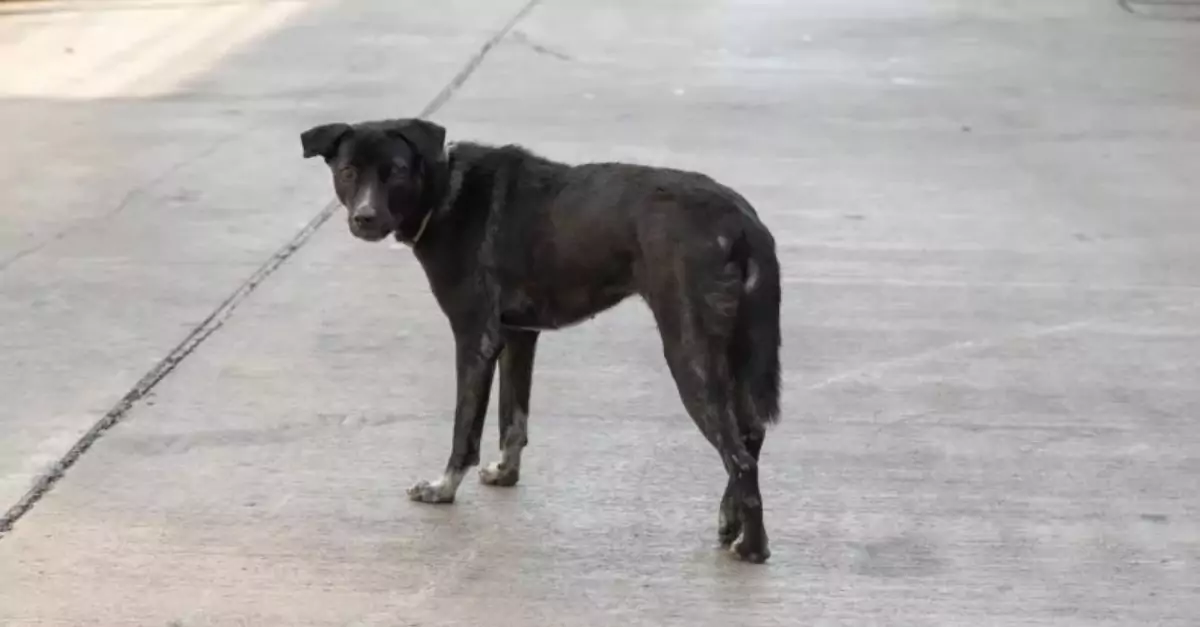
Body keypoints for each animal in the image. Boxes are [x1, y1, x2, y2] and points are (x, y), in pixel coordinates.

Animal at [302, 117, 777, 562]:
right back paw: (729, 520)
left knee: (739, 457)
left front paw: (443, 488)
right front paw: (505, 474)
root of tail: (742, 220)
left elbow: (465, 429)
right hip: (731, 348)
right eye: (348, 171)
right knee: (750, 435)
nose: (364, 218)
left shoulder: (474, 338)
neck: (444, 191)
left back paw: (753, 548)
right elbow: (514, 418)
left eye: (396, 172)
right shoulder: (518, 335)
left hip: (688, 349)